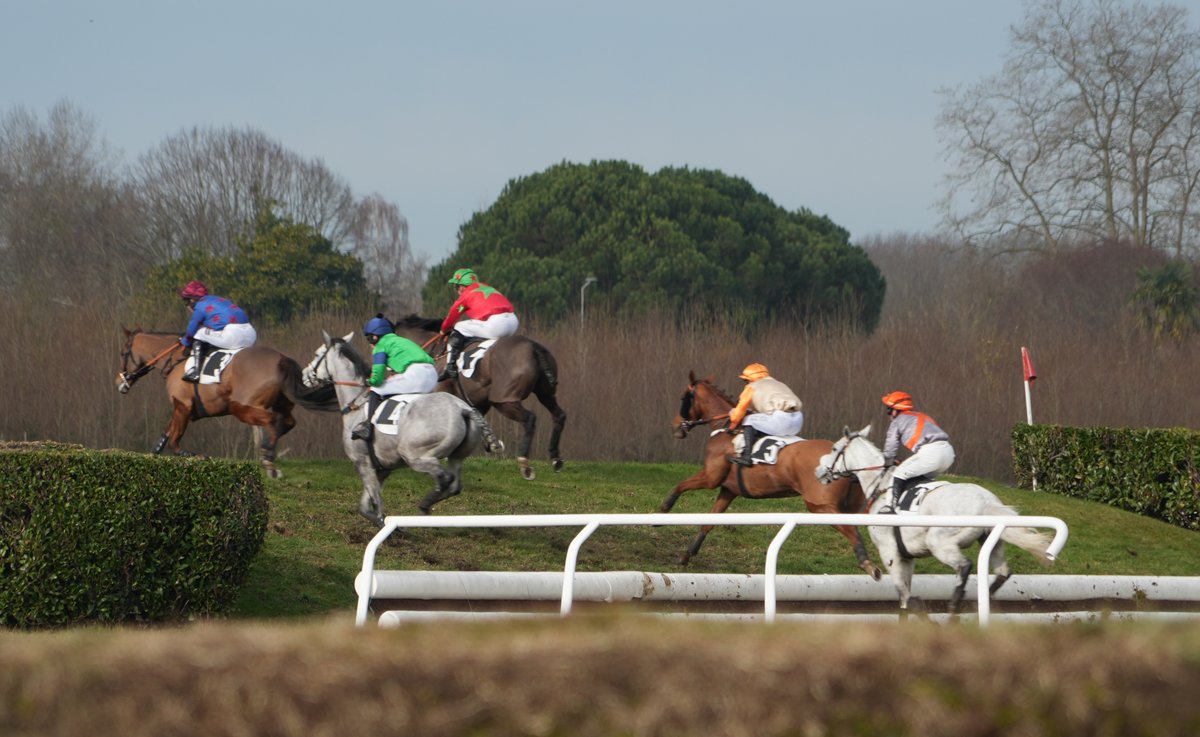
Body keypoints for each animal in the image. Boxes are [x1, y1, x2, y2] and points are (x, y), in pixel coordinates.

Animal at [116, 327, 337, 477]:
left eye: (122, 353)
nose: (119, 382)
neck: (175, 360)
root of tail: (282, 359)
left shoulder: (182, 406)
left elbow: (174, 441)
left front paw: (194, 455)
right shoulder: (183, 409)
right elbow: (166, 433)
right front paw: (153, 455)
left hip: (241, 406)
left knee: (273, 420)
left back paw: (268, 460)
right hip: (280, 404)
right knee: (288, 422)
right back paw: (267, 451)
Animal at [301, 332, 504, 526]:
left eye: (317, 354)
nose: (304, 375)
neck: (355, 404)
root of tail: (463, 408)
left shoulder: (362, 462)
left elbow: (376, 505)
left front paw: (389, 527)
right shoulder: (382, 469)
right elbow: (364, 507)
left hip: (416, 455)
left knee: (445, 478)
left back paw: (424, 505)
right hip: (456, 456)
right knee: (454, 485)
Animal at [392, 315, 566, 481]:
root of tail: (533, 346)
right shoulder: (477, 402)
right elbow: (478, 420)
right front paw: (492, 443)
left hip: (505, 400)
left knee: (529, 419)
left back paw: (525, 464)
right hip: (545, 394)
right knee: (559, 415)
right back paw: (555, 458)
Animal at [662, 371, 881, 579]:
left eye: (683, 397)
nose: (675, 427)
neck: (728, 430)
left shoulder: (711, 477)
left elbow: (680, 486)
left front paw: (664, 509)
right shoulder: (728, 489)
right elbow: (708, 523)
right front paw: (686, 555)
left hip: (819, 506)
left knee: (851, 530)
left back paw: (867, 564)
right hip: (848, 507)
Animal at [814, 424, 1054, 615]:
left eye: (834, 449)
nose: (818, 471)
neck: (881, 486)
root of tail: (986, 502)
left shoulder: (890, 552)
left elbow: (905, 596)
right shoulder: (907, 556)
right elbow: (905, 599)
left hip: (940, 542)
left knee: (965, 566)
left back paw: (955, 604)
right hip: (990, 540)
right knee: (1003, 572)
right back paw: (978, 600)